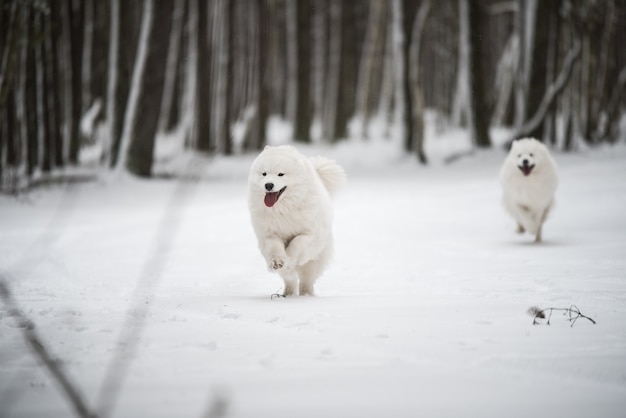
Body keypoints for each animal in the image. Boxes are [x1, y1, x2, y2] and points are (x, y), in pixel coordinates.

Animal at [247, 145, 346, 296]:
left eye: (280, 174)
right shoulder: (269, 234)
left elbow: (297, 243)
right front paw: (277, 262)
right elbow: (274, 248)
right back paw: (287, 294)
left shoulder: (310, 234)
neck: (284, 209)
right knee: (290, 279)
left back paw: (306, 295)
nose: (268, 185)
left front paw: (289, 258)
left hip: (314, 262)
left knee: (306, 281)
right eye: (264, 174)